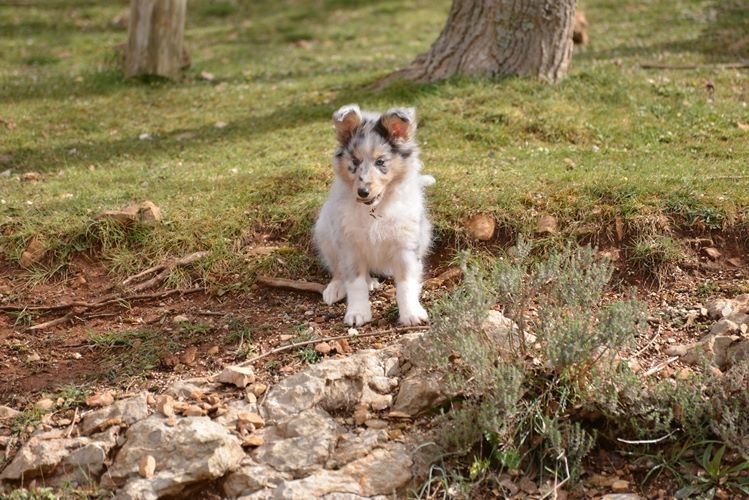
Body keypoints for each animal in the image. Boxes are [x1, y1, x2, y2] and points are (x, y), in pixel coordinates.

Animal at [314, 103, 432, 326]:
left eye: (380, 162)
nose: (363, 192)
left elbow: (406, 283)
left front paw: (411, 313)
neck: (375, 210)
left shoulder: (406, 244)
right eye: (354, 161)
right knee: (338, 270)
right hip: (325, 232)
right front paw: (357, 313)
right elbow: (355, 282)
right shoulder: (349, 244)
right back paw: (336, 288)